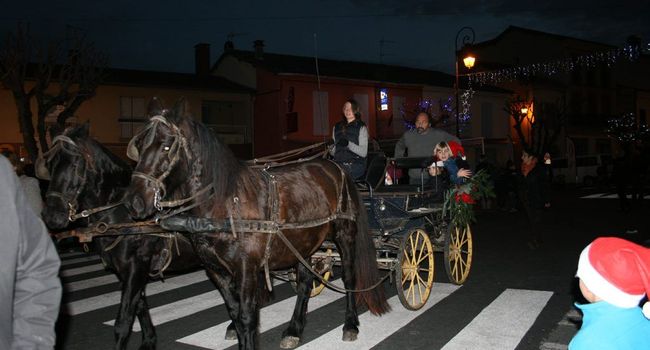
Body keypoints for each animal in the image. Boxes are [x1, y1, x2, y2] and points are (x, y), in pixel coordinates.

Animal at [38, 124, 200, 350]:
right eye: (50, 165)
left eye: (76, 164)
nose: (52, 216)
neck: (121, 212)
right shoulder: (126, 270)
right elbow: (139, 306)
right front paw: (149, 341)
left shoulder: (136, 266)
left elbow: (123, 322)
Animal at [121, 98, 388, 350]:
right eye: (140, 145)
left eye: (167, 145)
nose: (134, 201)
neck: (225, 203)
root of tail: (335, 166)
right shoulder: (216, 270)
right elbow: (234, 313)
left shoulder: (246, 269)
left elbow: (247, 317)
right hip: (304, 241)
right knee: (304, 283)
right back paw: (294, 329)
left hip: (345, 235)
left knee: (350, 278)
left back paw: (350, 324)